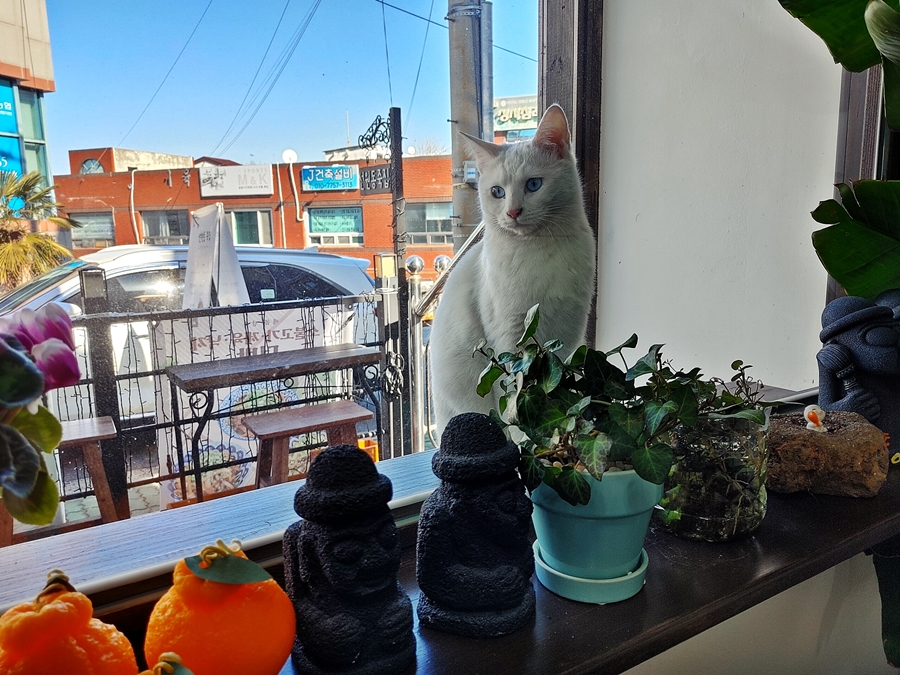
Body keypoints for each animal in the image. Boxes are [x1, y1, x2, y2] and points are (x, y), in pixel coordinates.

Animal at [429, 104, 596, 439]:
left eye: (533, 184)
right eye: (497, 192)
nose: (512, 211)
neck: (538, 250)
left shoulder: (566, 336)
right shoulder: (509, 340)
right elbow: (514, 399)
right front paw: (524, 439)